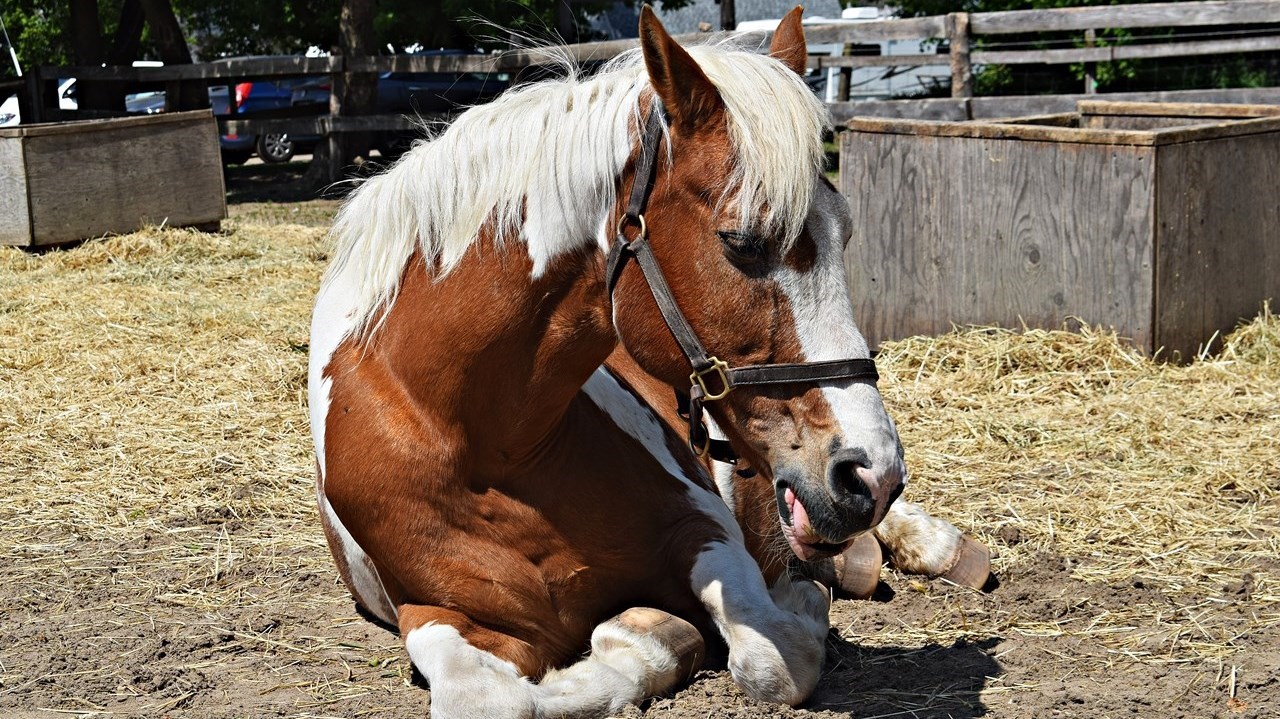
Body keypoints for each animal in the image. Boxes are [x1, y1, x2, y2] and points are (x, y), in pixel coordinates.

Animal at [310, 7, 915, 716]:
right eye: (740, 241)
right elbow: (499, 699)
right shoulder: (438, 615)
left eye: (844, 232)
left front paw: (787, 602)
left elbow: (777, 660)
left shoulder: (703, 526)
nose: (871, 473)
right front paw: (645, 633)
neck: (490, 445)